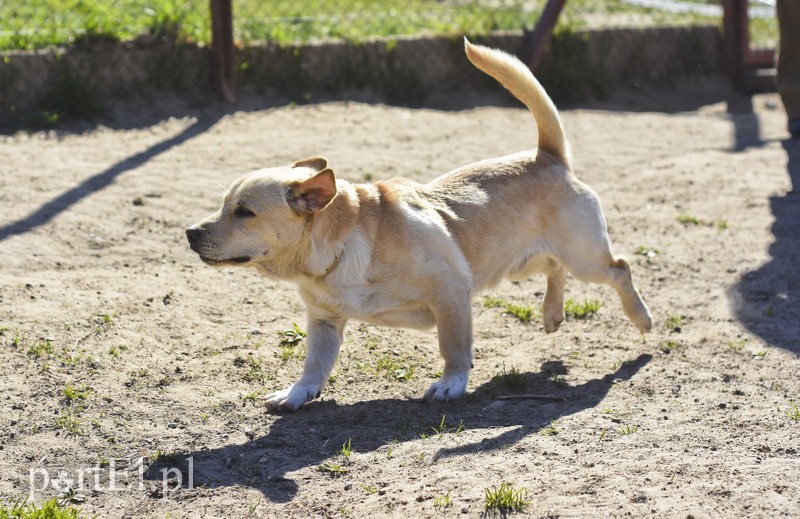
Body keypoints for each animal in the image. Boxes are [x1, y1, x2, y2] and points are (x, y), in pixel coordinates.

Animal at [189, 39, 656, 410]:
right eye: (223, 205)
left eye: (244, 212)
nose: (190, 233)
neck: (341, 248)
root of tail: (547, 155)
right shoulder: (323, 322)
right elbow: (313, 366)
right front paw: (297, 394)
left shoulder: (450, 294)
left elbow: (453, 348)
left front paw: (451, 386)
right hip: (523, 261)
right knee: (554, 269)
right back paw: (552, 314)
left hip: (585, 258)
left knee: (620, 268)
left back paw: (642, 319)